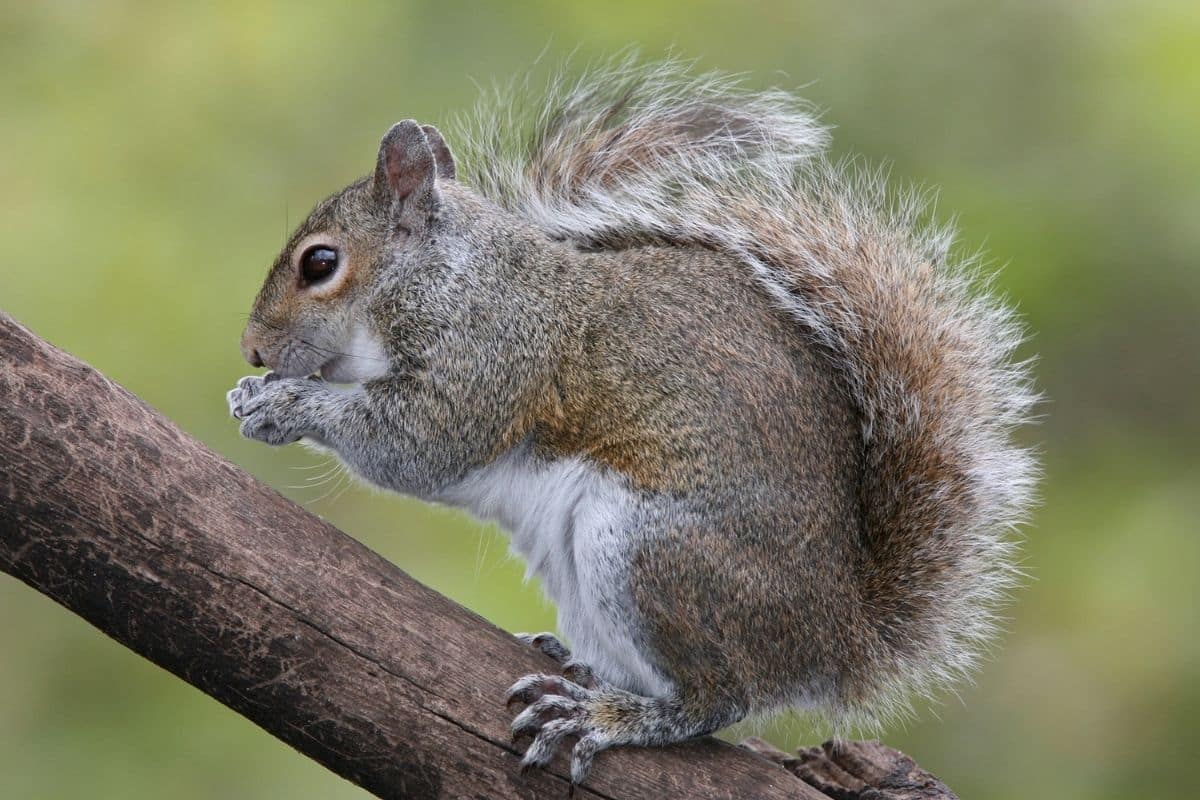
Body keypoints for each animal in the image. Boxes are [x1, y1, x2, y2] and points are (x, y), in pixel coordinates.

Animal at [225, 59, 1041, 786]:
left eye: (320, 263)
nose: (253, 349)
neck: (444, 276)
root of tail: (838, 639)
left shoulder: (490, 356)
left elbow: (418, 443)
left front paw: (283, 404)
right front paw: (251, 393)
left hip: (647, 550)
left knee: (719, 699)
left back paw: (609, 715)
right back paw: (576, 662)